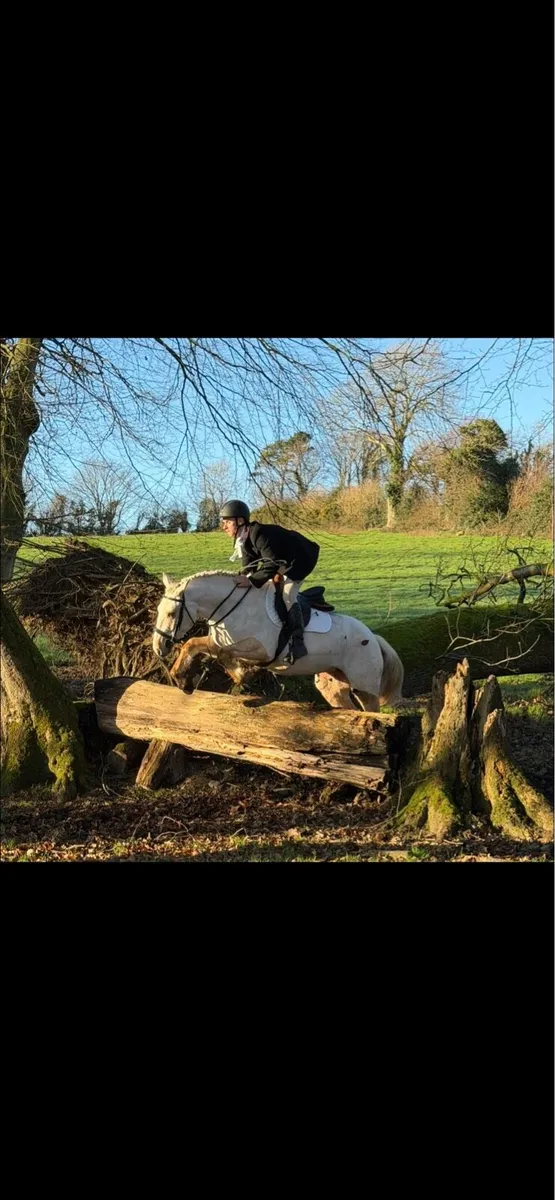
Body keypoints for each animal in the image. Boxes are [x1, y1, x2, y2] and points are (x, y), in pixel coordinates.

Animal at [153, 570, 404, 712]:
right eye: (158, 610)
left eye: (172, 614)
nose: (158, 647)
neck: (231, 607)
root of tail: (373, 637)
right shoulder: (220, 642)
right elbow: (193, 644)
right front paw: (181, 678)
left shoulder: (260, 650)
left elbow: (219, 652)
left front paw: (241, 673)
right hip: (333, 686)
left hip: (364, 686)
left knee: (371, 711)